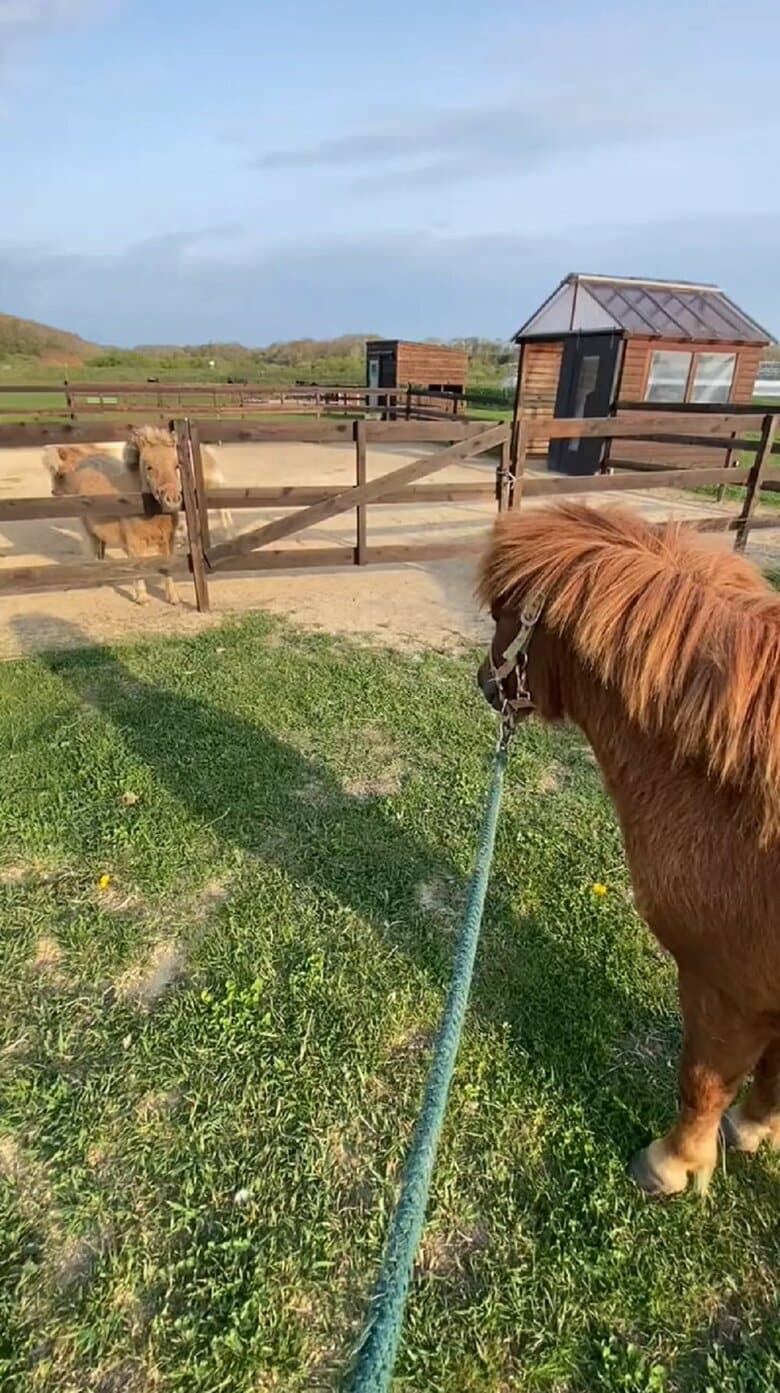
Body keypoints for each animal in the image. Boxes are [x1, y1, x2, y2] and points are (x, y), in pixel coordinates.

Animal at [45, 445, 179, 606]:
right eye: (149, 467)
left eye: (177, 465)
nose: (172, 499)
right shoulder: (134, 541)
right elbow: (138, 567)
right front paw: (142, 598)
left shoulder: (167, 540)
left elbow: (167, 566)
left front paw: (173, 598)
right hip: (88, 527)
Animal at [477, 501, 780, 1197]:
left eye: (501, 613)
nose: (484, 682)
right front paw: (757, 1128)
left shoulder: (724, 984)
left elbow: (702, 1080)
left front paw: (673, 1162)